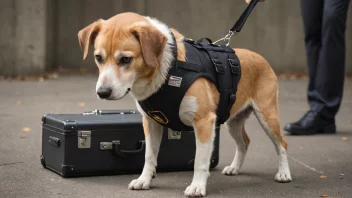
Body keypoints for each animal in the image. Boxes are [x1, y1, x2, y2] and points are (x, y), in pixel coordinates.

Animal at [78, 12, 292, 196]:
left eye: (125, 59)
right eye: (98, 58)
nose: (103, 92)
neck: (167, 69)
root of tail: (260, 57)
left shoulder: (204, 122)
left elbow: (200, 161)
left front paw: (197, 186)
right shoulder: (151, 122)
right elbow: (149, 156)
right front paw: (144, 180)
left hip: (267, 115)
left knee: (281, 144)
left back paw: (283, 173)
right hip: (234, 121)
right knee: (244, 142)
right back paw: (235, 167)